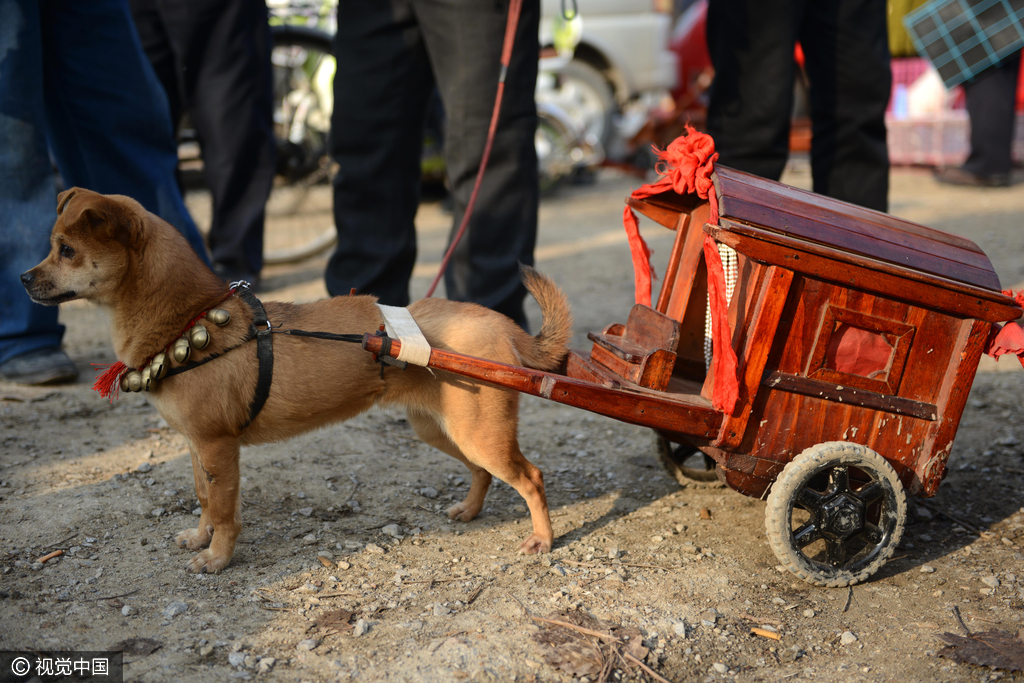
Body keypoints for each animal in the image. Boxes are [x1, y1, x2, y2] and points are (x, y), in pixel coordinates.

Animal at [24, 189, 573, 573]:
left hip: (479, 434)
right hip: (443, 429)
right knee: (484, 473)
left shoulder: (219, 448)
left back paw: (543, 539)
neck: (189, 320)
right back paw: (471, 511)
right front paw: (200, 538)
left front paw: (218, 559)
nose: (24, 279)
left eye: (66, 250)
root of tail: (503, 324)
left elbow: (225, 510)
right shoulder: (199, 448)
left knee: (532, 478)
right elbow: (204, 499)